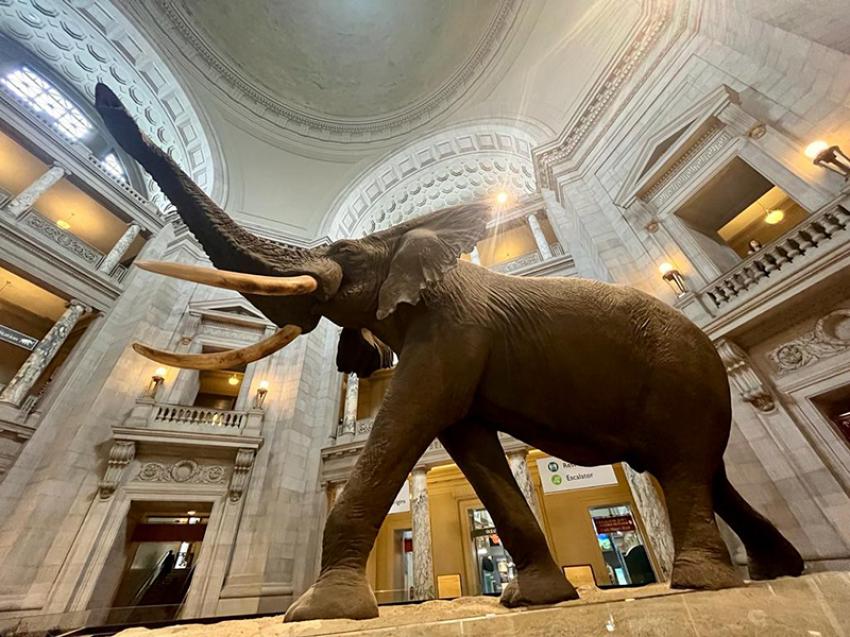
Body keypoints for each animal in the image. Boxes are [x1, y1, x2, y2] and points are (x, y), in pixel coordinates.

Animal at [94, 84, 800, 620]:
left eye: (344, 253)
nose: (103, 98)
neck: (416, 244)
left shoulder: (453, 330)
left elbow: (408, 422)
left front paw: (318, 612)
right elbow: (470, 445)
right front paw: (534, 600)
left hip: (682, 371)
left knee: (683, 470)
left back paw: (703, 582)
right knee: (705, 472)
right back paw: (779, 570)